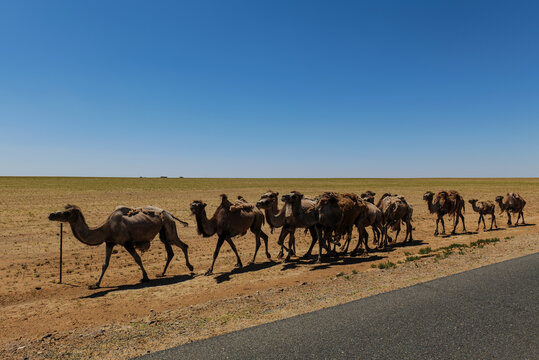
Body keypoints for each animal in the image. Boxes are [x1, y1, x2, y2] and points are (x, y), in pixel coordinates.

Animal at [47, 205, 193, 290]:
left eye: (66, 213)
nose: (51, 215)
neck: (106, 229)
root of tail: (170, 214)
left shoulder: (126, 242)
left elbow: (137, 259)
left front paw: (145, 277)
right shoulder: (109, 242)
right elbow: (105, 264)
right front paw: (95, 284)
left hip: (168, 228)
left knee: (183, 245)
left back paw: (190, 268)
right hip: (163, 232)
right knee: (170, 252)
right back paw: (162, 273)